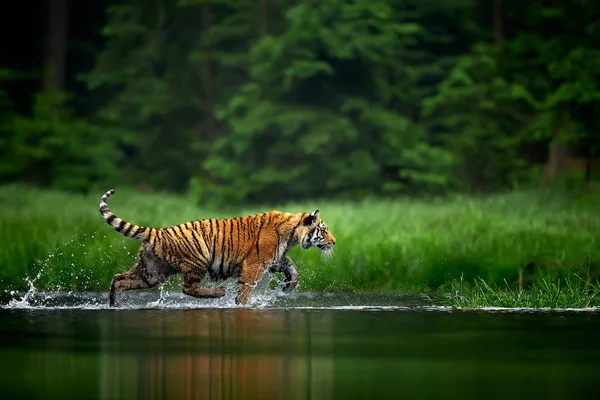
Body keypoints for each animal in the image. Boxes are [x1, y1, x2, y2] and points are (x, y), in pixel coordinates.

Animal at [99, 189, 338, 308]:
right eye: (323, 230)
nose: (334, 242)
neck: (292, 233)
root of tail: (157, 231)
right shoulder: (255, 264)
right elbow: (246, 289)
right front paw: (240, 304)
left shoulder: (275, 259)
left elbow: (293, 268)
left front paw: (288, 287)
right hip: (197, 260)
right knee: (188, 288)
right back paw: (218, 292)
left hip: (152, 272)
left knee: (119, 279)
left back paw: (114, 304)